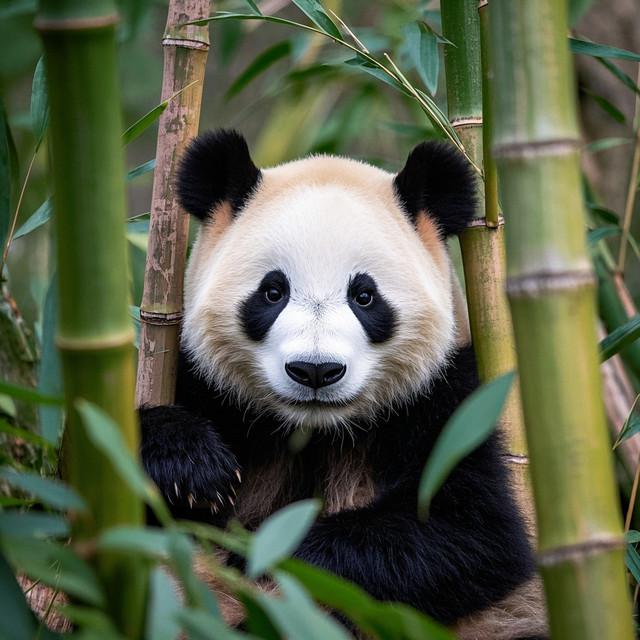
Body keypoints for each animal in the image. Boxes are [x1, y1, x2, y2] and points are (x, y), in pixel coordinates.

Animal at [140, 129, 547, 639]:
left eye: (365, 296)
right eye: (273, 292)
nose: (315, 371)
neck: (314, 430)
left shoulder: (449, 401)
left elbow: (472, 533)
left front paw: (269, 552)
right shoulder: (206, 386)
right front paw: (191, 469)